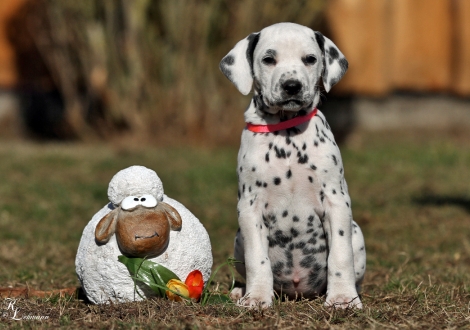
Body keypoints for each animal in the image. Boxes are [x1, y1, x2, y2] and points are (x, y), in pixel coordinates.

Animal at [220, 22, 368, 306]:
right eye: (268, 59)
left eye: (310, 59)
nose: (292, 86)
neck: (286, 134)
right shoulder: (249, 207)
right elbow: (258, 259)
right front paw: (256, 297)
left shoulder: (336, 200)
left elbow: (340, 255)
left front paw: (343, 298)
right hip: (238, 237)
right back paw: (241, 291)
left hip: (356, 231)